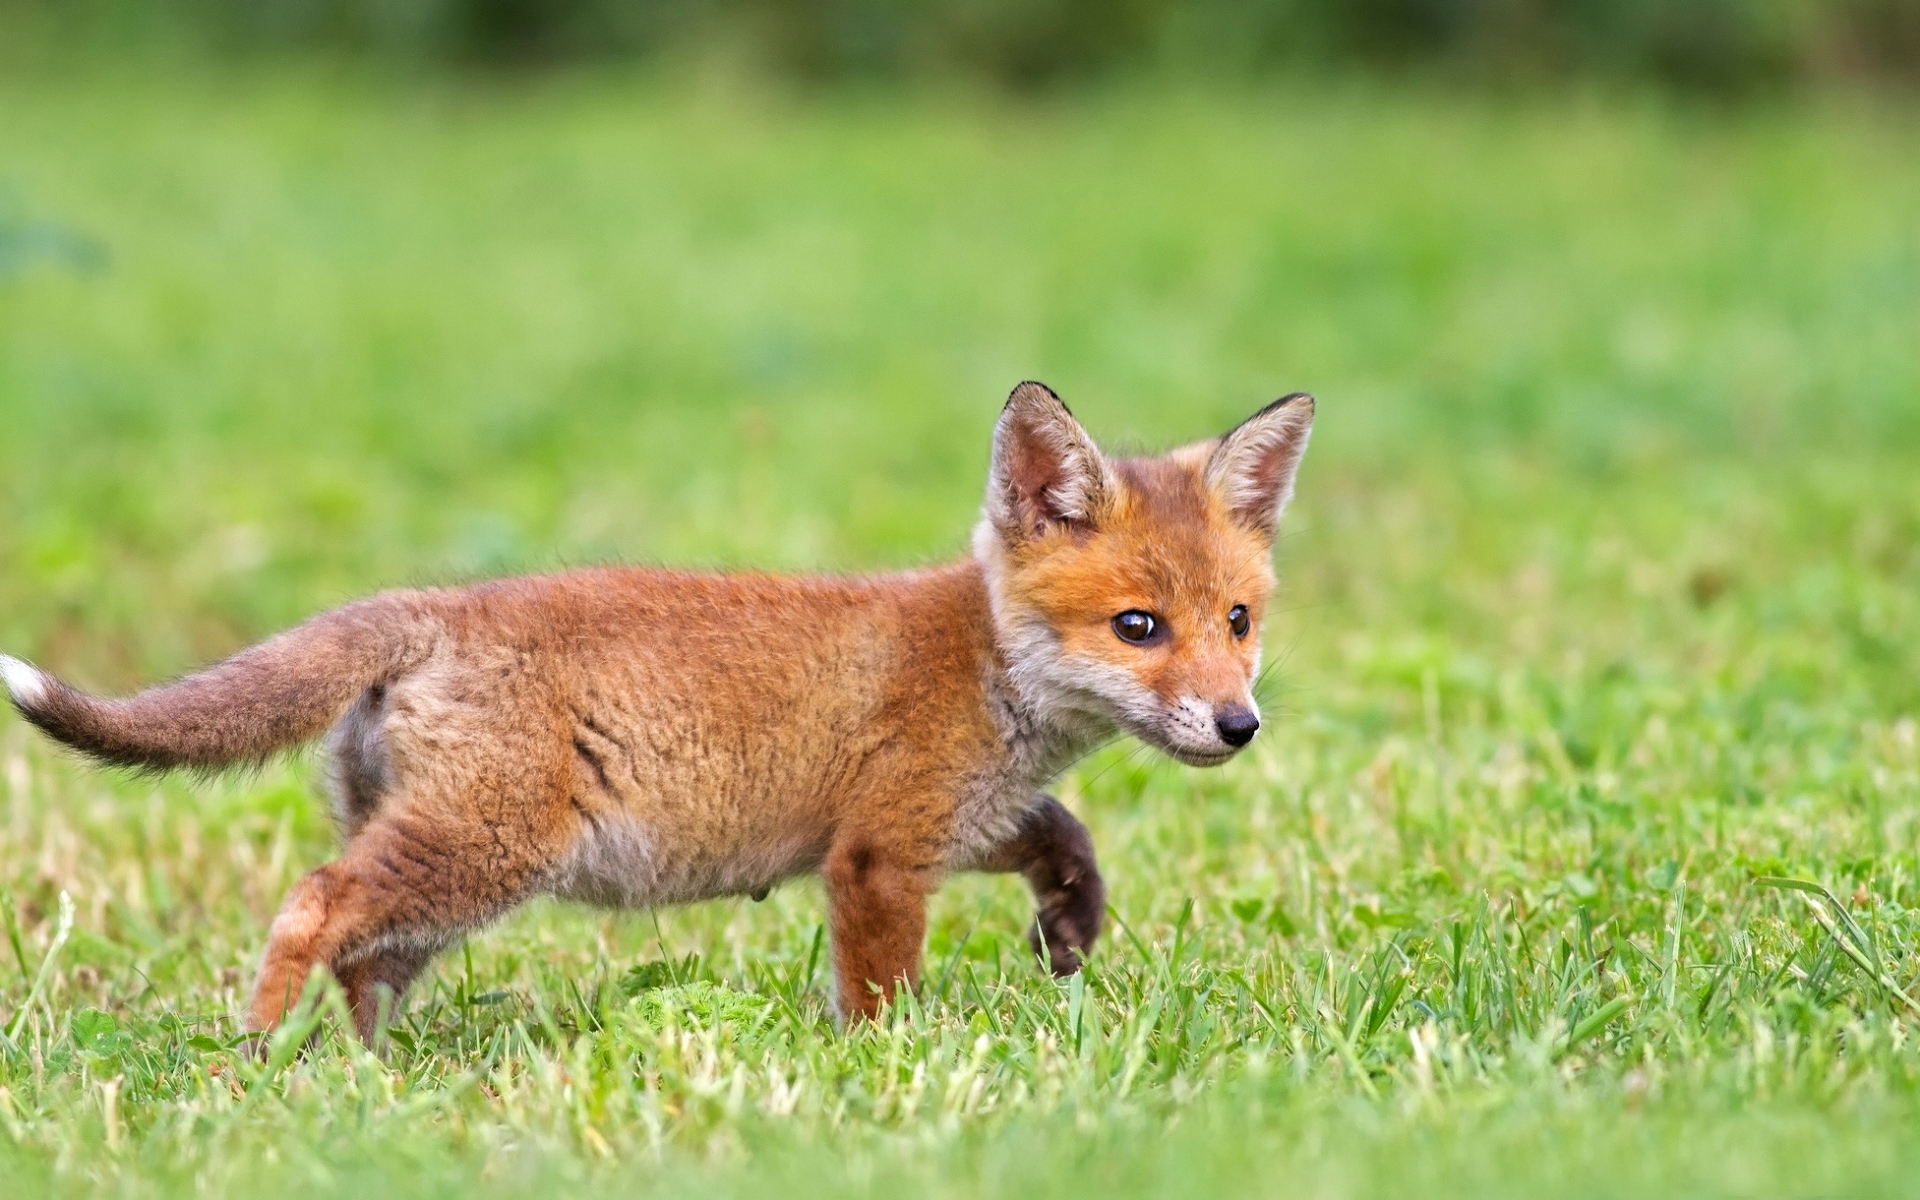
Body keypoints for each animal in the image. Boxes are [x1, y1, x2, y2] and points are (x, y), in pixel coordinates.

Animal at [1, 382, 1313, 1038]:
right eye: (1138, 628)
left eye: (1238, 621)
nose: (1238, 726)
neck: (983, 660)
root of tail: (428, 604)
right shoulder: (880, 853)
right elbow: (879, 995)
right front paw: (887, 1076)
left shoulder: (957, 820)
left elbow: (1064, 838)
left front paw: (1069, 931)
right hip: (479, 851)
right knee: (314, 907)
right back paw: (261, 1064)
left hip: (445, 878)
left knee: (362, 959)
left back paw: (370, 1082)